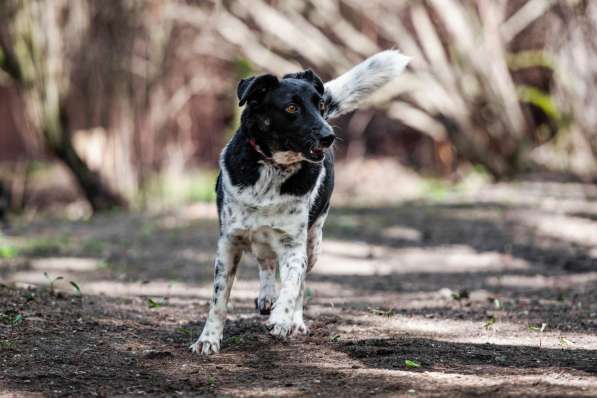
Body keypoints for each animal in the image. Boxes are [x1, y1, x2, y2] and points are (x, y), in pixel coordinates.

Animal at [191, 49, 410, 354]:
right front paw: (208, 339)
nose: (329, 136)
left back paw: (293, 320)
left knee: (300, 281)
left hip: (314, 240)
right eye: (292, 108)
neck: (273, 169)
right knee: (266, 263)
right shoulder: (229, 242)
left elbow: (293, 283)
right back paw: (266, 296)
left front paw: (282, 319)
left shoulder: (293, 245)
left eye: (320, 105)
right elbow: (219, 299)